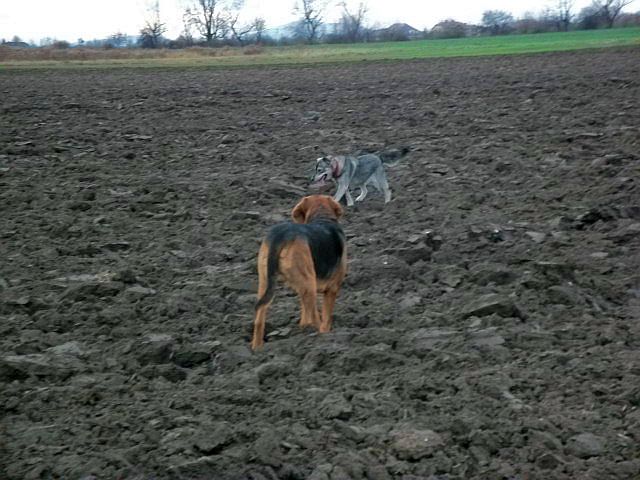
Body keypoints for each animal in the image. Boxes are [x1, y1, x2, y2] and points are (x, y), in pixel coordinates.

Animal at [252, 194, 348, 348]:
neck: (322, 217)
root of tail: (281, 235)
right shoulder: (332, 288)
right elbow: (326, 316)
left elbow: (304, 312)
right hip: (309, 283)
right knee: (315, 316)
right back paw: (319, 337)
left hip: (265, 281)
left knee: (259, 318)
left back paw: (257, 348)